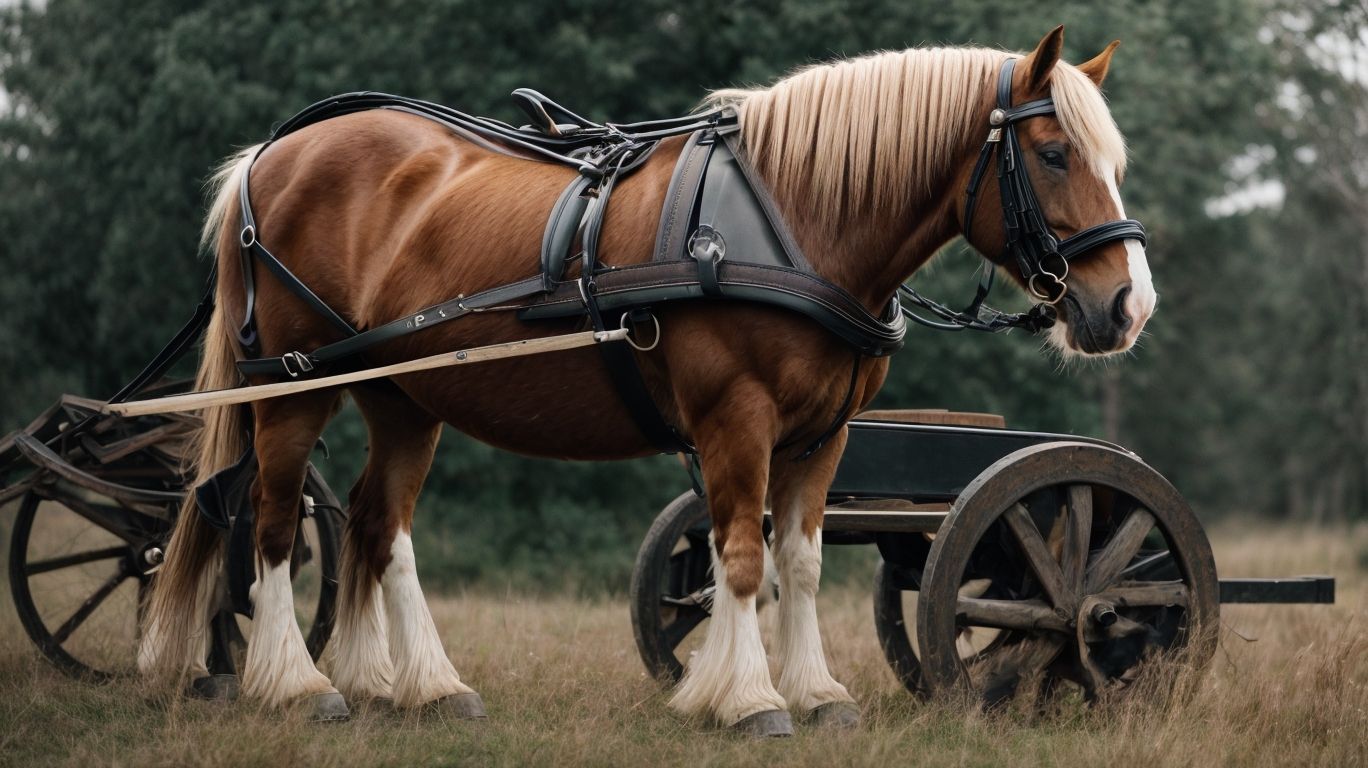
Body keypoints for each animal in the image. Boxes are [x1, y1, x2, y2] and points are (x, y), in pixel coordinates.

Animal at [138, 26, 1155, 732]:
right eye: (1054, 153)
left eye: (1111, 159)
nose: (1128, 304)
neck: (794, 218)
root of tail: (271, 157)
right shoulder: (735, 420)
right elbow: (740, 556)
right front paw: (747, 700)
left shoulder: (821, 437)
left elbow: (798, 561)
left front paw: (813, 689)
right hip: (291, 387)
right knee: (275, 523)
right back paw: (298, 682)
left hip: (402, 394)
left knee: (377, 526)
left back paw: (417, 685)